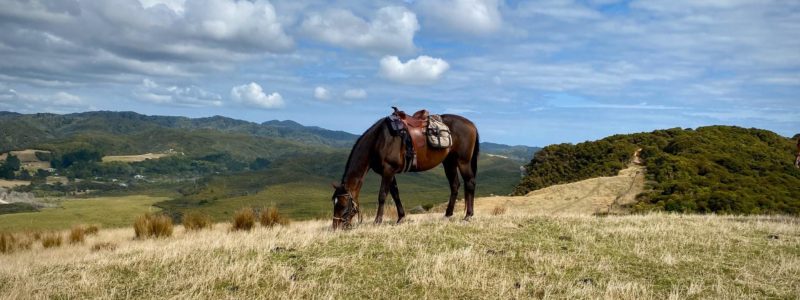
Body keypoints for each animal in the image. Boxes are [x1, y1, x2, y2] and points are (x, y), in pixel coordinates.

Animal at [328, 110, 478, 230]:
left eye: (342, 205)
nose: (336, 227)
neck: (379, 140)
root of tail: (471, 124)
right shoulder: (389, 172)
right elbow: (395, 194)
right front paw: (401, 218)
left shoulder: (388, 170)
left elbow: (382, 195)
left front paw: (377, 221)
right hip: (449, 162)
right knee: (455, 185)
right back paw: (447, 214)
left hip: (463, 161)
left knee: (469, 183)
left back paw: (468, 215)